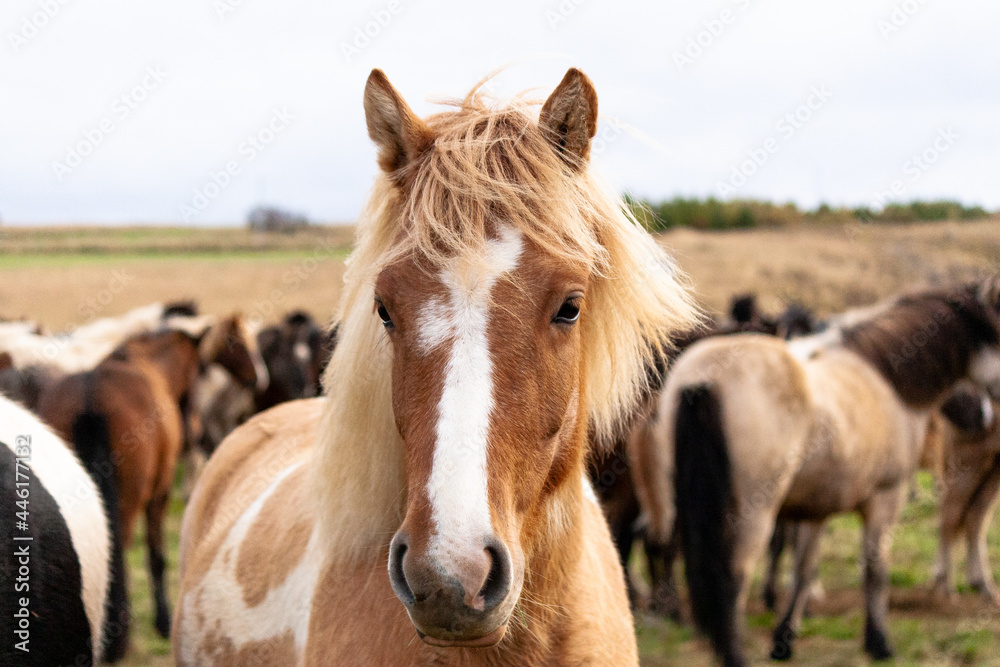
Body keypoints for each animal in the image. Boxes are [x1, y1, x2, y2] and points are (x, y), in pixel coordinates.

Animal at [36, 314, 266, 656]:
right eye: (236, 343)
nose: (257, 379)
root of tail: (90, 398)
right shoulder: (160, 492)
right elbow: (156, 557)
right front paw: (161, 619)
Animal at [928, 380, 1000, 604]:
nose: (982, 414)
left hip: (990, 466)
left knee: (974, 518)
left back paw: (982, 584)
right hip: (971, 458)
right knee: (951, 515)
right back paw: (945, 584)